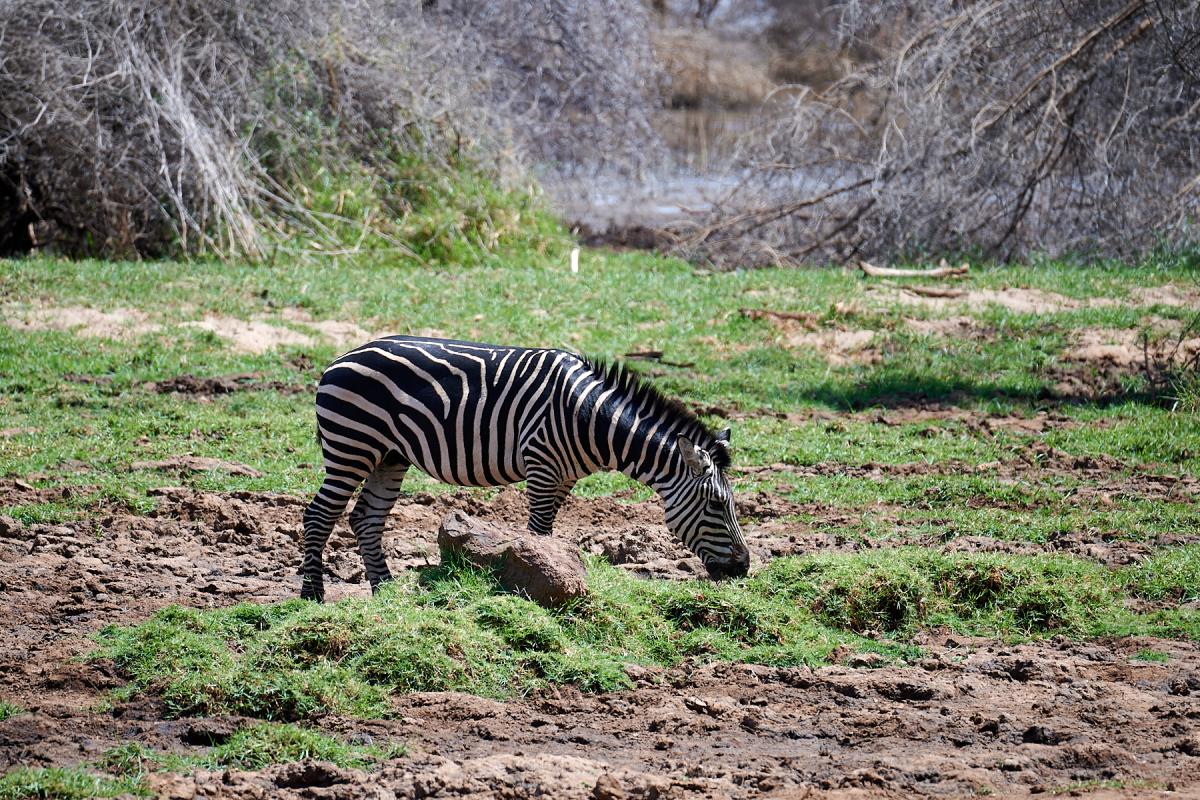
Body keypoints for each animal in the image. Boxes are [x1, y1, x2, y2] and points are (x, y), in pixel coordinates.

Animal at [300, 335, 749, 601]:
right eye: (715, 504)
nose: (743, 569)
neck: (592, 418)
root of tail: (341, 357)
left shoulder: (565, 478)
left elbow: (547, 533)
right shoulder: (542, 465)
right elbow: (537, 532)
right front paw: (540, 587)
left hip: (390, 455)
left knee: (367, 518)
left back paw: (386, 589)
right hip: (351, 445)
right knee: (319, 515)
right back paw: (312, 594)